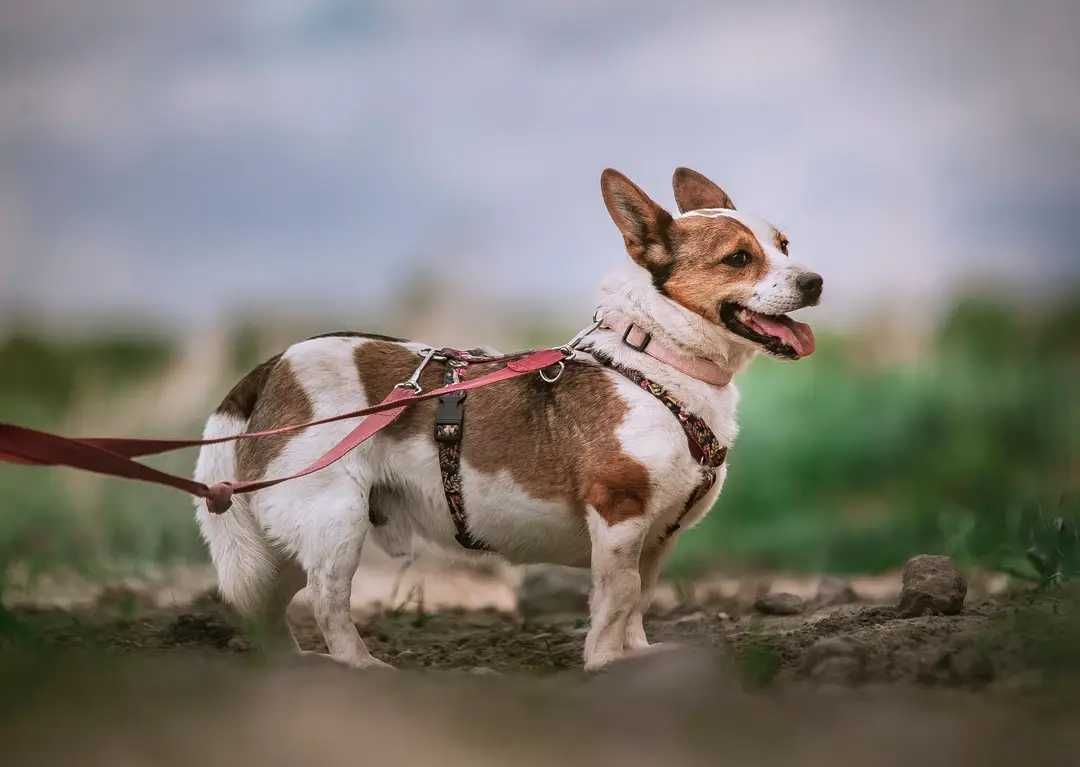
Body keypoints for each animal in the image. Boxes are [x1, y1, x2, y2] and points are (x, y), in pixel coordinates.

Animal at [194, 165, 816, 669]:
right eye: (738, 258)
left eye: (785, 245)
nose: (815, 282)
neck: (655, 359)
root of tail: (274, 364)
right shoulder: (619, 516)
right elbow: (615, 602)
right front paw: (607, 665)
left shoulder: (655, 537)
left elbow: (638, 599)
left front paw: (638, 655)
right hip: (333, 521)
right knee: (327, 602)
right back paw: (361, 667)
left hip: (287, 538)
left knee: (270, 608)